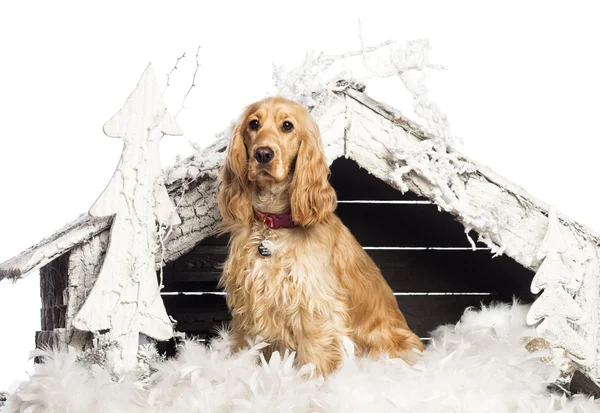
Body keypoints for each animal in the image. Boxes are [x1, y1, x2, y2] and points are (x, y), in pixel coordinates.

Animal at [217, 96, 422, 374]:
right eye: (254, 123)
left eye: (287, 126)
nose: (263, 154)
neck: (274, 225)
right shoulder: (245, 304)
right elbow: (243, 348)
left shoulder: (314, 307)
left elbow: (314, 358)